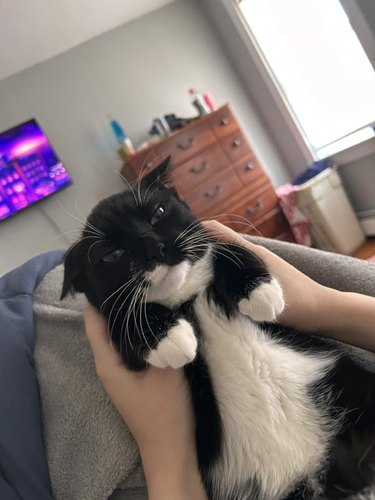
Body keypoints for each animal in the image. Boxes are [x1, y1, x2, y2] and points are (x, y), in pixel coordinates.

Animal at [62, 158, 375, 498]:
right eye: (112, 254)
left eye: (158, 212)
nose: (154, 248)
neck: (186, 297)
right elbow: (123, 315)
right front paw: (169, 338)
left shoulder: (221, 246)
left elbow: (228, 248)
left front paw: (260, 292)